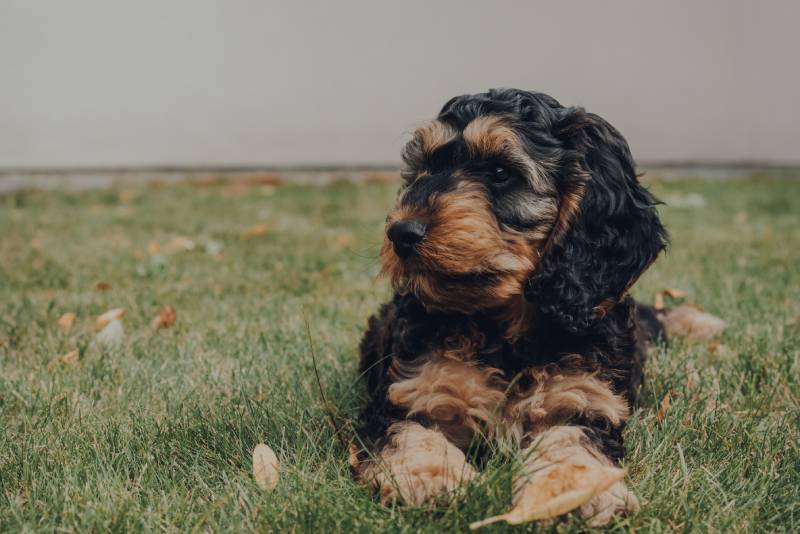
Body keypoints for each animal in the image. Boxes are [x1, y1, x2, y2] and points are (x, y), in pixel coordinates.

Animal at [350, 88, 668, 528]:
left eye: (500, 172)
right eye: (425, 167)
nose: (400, 233)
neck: (501, 327)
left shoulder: (582, 398)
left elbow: (570, 441)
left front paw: (574, 493)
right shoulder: (410, 393)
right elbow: (414, 433)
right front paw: (430, 480)